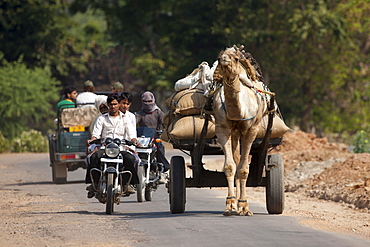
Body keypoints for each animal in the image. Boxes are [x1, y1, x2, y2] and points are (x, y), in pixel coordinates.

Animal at [212, 46, 268, 216]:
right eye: (219, 57)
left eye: (235, 58)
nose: (224, 58)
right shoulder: (222, 129)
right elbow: (230, 167)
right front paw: (230, 205)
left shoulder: (251, 130)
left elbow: (243, 169)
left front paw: (244, 206)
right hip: (234, 133)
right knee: (235, 160)